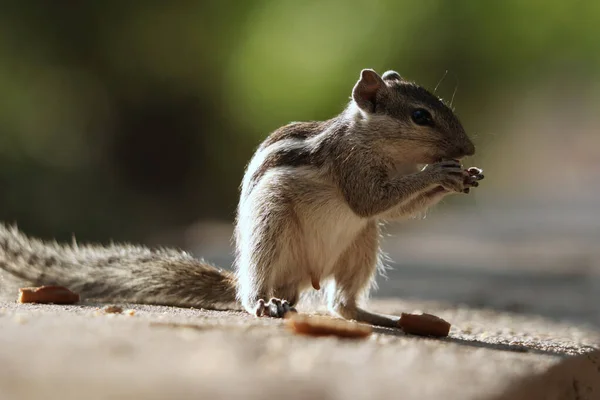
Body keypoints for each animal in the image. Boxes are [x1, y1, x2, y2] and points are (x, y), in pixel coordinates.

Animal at [0, 69, 482, 328]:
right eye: (420, 116)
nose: (470, 149)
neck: (371, 142)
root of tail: (296, 281)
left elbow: (395, 208)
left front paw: (463, 177)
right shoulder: (351, 167)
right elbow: (371, 200)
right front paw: (439, 173)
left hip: (361, 245)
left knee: (342, 305)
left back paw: (378, 317)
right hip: (272, 227)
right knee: (264, 290)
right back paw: (261, 303)